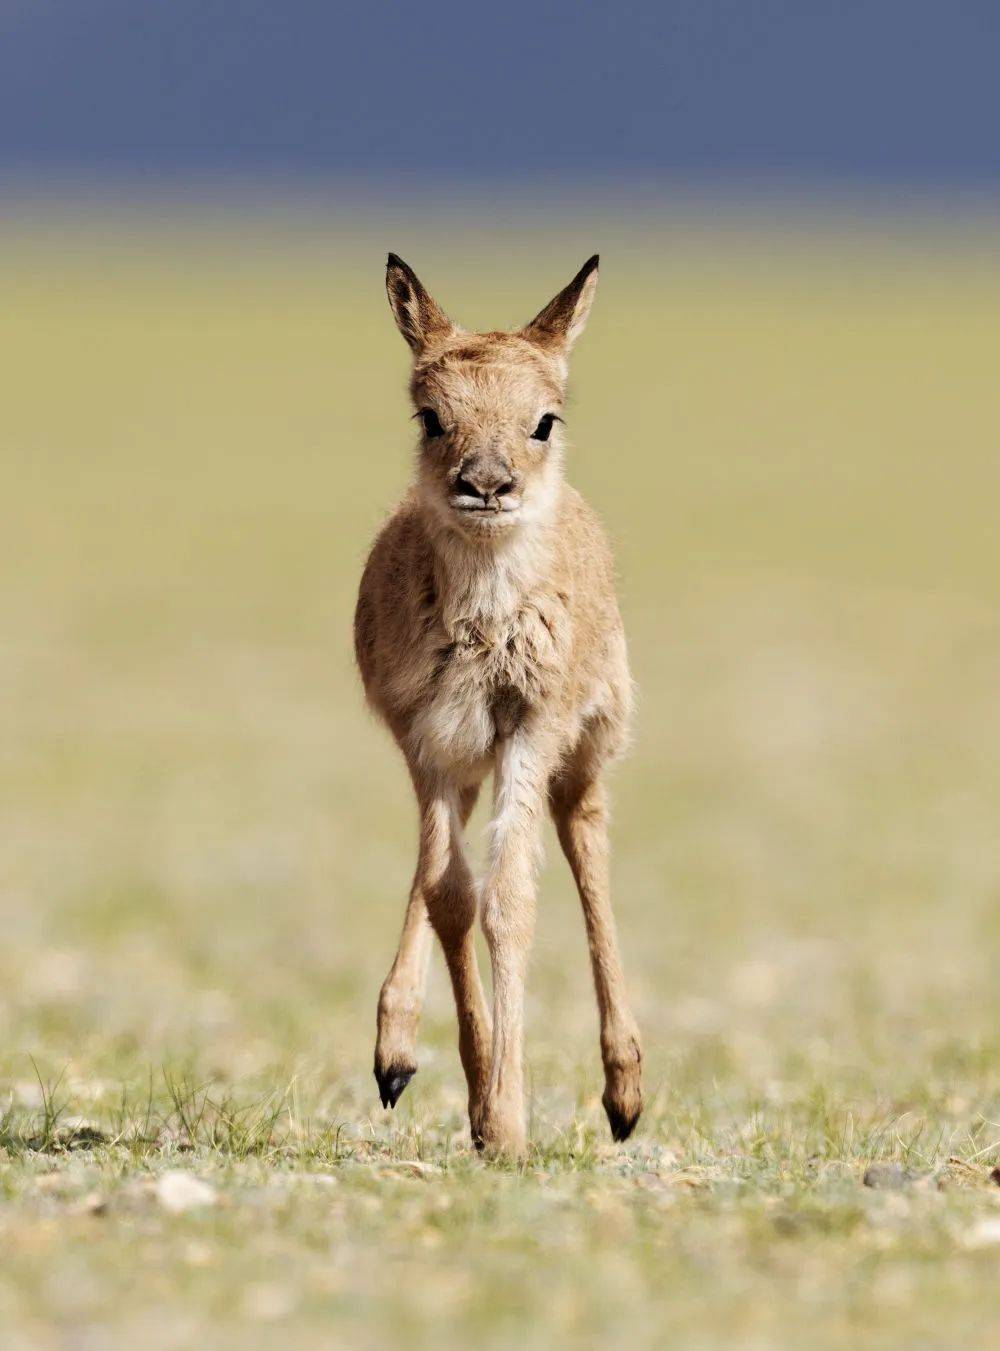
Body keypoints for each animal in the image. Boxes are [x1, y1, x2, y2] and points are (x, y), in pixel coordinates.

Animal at [356, 251, 643, 1151]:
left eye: (544, 419)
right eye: (430, 416)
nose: (487, 483)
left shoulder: (531, 727)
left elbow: (511, 899)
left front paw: (508, 1120)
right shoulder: (427, 739)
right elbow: (451, 895)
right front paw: (480, 1100)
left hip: (584, 751)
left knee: (587, 841)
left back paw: (625, 1091)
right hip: (463, 761)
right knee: (438, 877)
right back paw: (395, 1052)